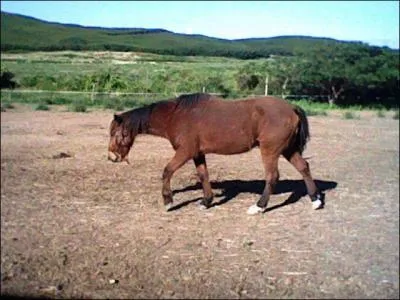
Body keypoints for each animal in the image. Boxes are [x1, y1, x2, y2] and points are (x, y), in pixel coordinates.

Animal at [108, 92, 324, 214]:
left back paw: (259, 206)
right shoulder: (197, 154)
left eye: (116, 133)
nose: (112, 157)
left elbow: (167, 171)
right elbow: (204, 175)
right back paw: (315, 200)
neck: (176, 115)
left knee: (272, 176)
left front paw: (168, 201)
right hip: (288, 149)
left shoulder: (185, 152)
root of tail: (292, 108)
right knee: (304, 167)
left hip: (270, 151)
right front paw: (206, 201)